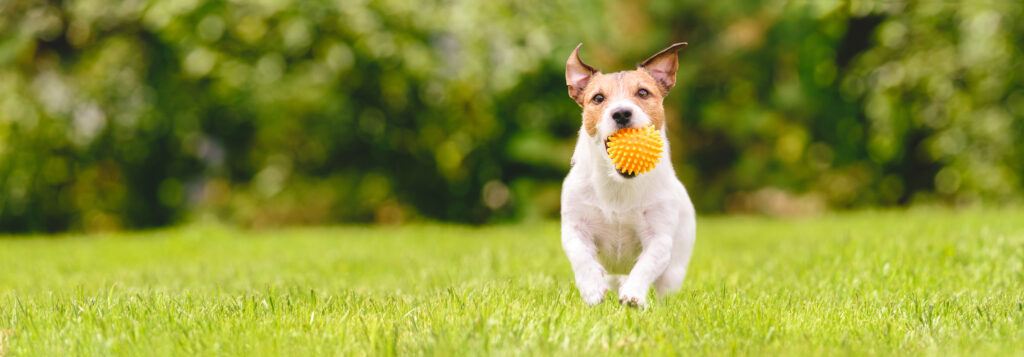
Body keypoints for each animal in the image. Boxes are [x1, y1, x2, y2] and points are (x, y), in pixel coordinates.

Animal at [561, 43, 696, 306]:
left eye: (643, 93)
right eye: (598, 98)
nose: (622, 113)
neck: (618, 186)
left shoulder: (659, 237)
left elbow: (646, 265)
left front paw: (633, 295)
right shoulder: (575, 227)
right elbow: (580, 256)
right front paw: (592, 288)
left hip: (675, 269)